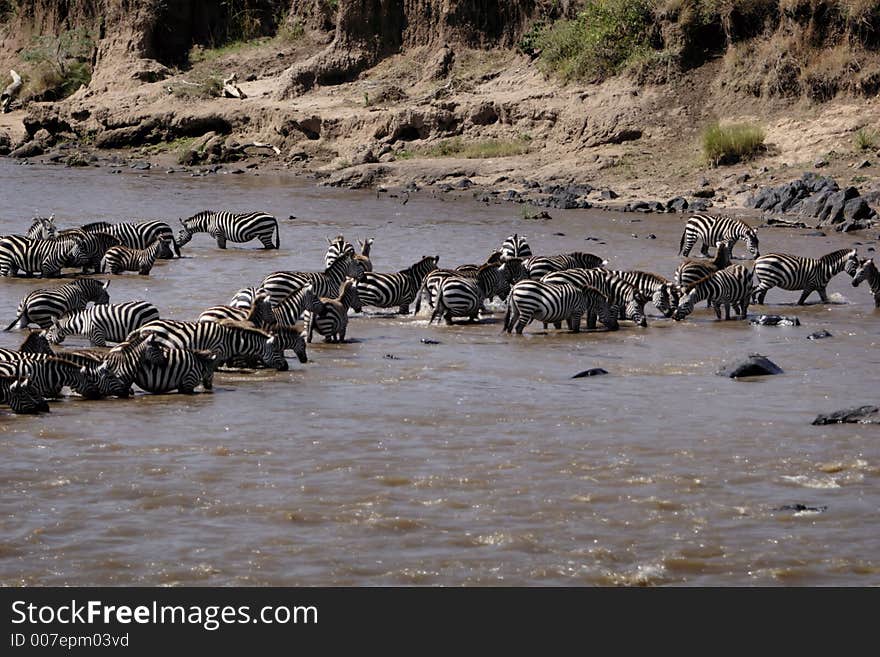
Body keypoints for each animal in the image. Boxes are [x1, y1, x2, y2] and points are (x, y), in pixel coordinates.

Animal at [132, 320, 288, 372]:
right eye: (277, 351)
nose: (286, 367)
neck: (230, 341)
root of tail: (143, 326)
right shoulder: (216, 351)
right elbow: (213, 366)